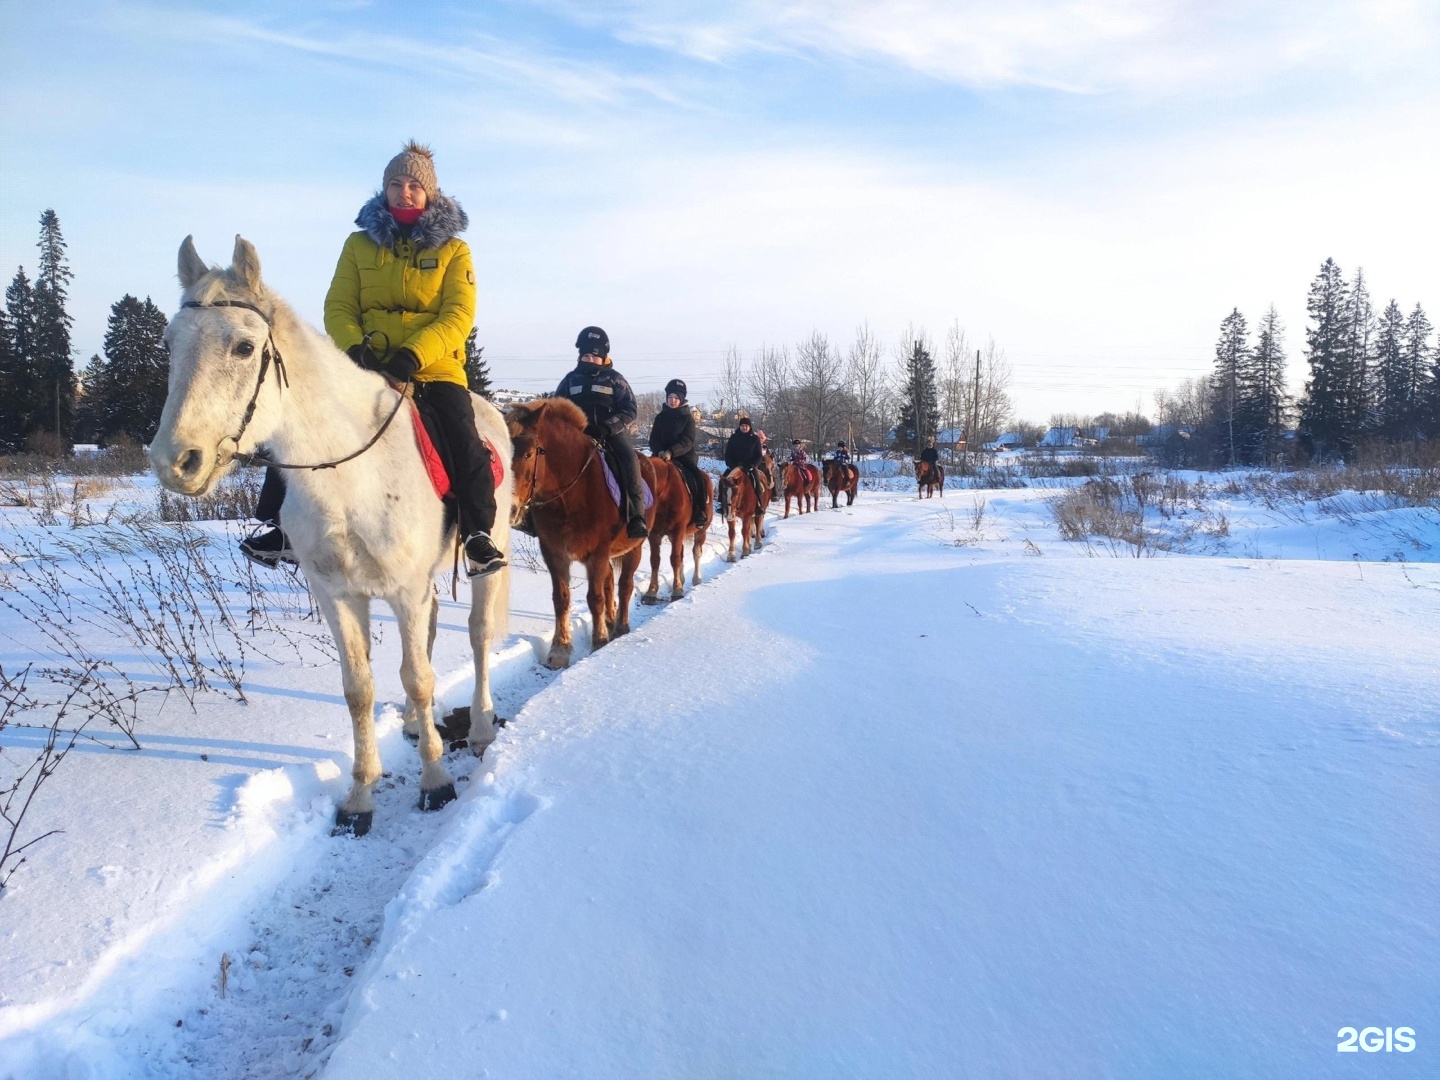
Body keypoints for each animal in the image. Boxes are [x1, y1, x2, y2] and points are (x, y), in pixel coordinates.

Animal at [150, 240, 512, 840]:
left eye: (244, 346)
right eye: (169, 343)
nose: (174, 462)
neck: (348, 477)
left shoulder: (404, 590)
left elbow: (418, 677)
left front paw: (435, 782)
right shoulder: (337, 594)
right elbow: (359, 688)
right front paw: (360, 797)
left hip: (485, 557)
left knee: (479, 637)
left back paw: (481, 728)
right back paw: (413, 725)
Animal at [506, 397, 659, 668]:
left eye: (528, 453)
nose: (510, 509)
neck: (569, 496)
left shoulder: (596, 554)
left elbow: (594, 597)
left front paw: (599, 640)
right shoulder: (554, 553)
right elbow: (561, 598)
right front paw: (560, 648)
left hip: (634, 548)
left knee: (624, 585)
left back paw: (621, 625)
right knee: (610, 583)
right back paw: (610, 619)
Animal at [642, 457, 714, 610]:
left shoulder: (677, 531)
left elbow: (674, 559)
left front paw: (677, 592)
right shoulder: (654, 534)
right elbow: (655, 560)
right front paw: (651, 592)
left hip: (701, 531)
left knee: (696, 552)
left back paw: (696, 579)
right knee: (681, 554)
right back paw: (682, 579)